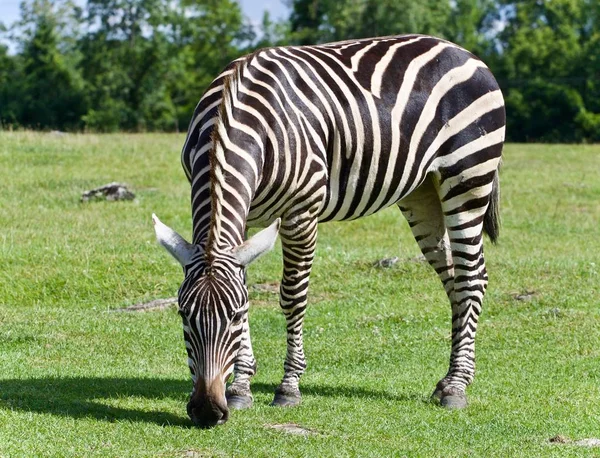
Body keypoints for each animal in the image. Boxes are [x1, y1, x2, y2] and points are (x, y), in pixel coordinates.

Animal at [154, 34, 506, 428]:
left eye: (232, 317)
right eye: (183, 315)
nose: (206, 411)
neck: (230, 118)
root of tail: (464, 51)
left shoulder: (301, 213)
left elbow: (292, 297)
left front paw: (288, 387)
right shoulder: (242, 225)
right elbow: (244, 285)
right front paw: (242, 386)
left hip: (468, 177)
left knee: (472, 277)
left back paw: (457, 388)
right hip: (422, 192)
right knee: (455, 280)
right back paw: (447, 381)